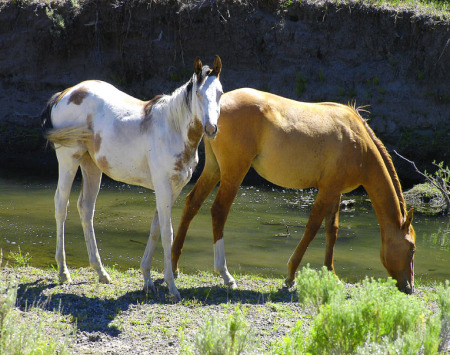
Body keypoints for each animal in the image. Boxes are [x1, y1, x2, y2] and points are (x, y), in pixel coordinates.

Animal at [41, 57, 223, 302]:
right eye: (199, 94)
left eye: (220, 93)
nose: (211, 128)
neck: (172, 129)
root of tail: (65, 93)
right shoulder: (163, 186)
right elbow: (167, 233)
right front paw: (172, 287)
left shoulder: (173, 189)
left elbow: (155, 229)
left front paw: (147, 281)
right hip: (69, 159)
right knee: (61, 205)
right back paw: (63, 272)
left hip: (91, 166)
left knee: (86, 209)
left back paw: (101, 272)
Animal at [171, 88, 416, 294]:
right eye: (412, 248)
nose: (410, 288)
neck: (358, 142)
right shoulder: (327, 191)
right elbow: (312, 228)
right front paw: (290, 276)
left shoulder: (335, 191)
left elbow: (332, 230)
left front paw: (331, 274)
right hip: (234, 171)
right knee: (219, 211)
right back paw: (225, 275)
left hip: (214, 168)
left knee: (192, 203)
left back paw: (173, 267)